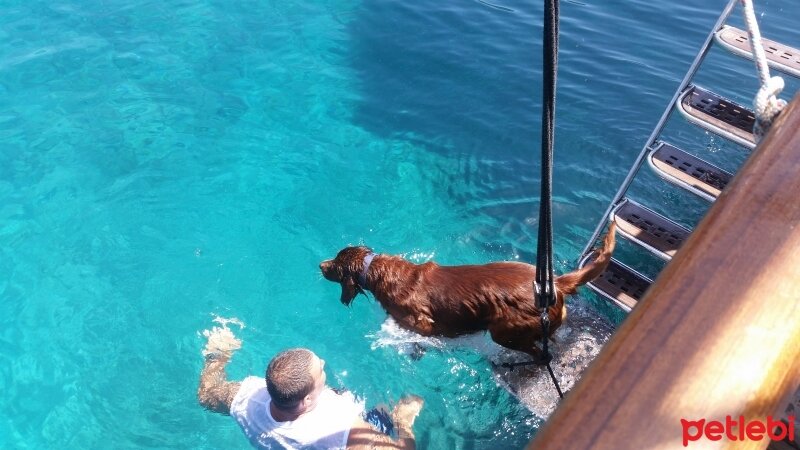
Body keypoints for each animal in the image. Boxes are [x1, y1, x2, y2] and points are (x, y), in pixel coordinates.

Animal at [320, 223, 620, 360]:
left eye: (334, 263)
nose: (319, 265)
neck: (377, 271)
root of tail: (554, 282)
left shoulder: (421, 323)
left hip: (505, 330)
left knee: (538, 352)